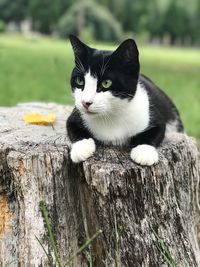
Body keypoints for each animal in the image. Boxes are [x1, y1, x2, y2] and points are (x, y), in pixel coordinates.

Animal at [66, 35, 184, 165]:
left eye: (106, 83)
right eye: (79, 81)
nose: (85, 102)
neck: (110, 116)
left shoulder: (154, 116)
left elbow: (156, 130)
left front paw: (144, 151)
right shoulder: (76, 114)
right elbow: (72, 127)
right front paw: (82, 148)